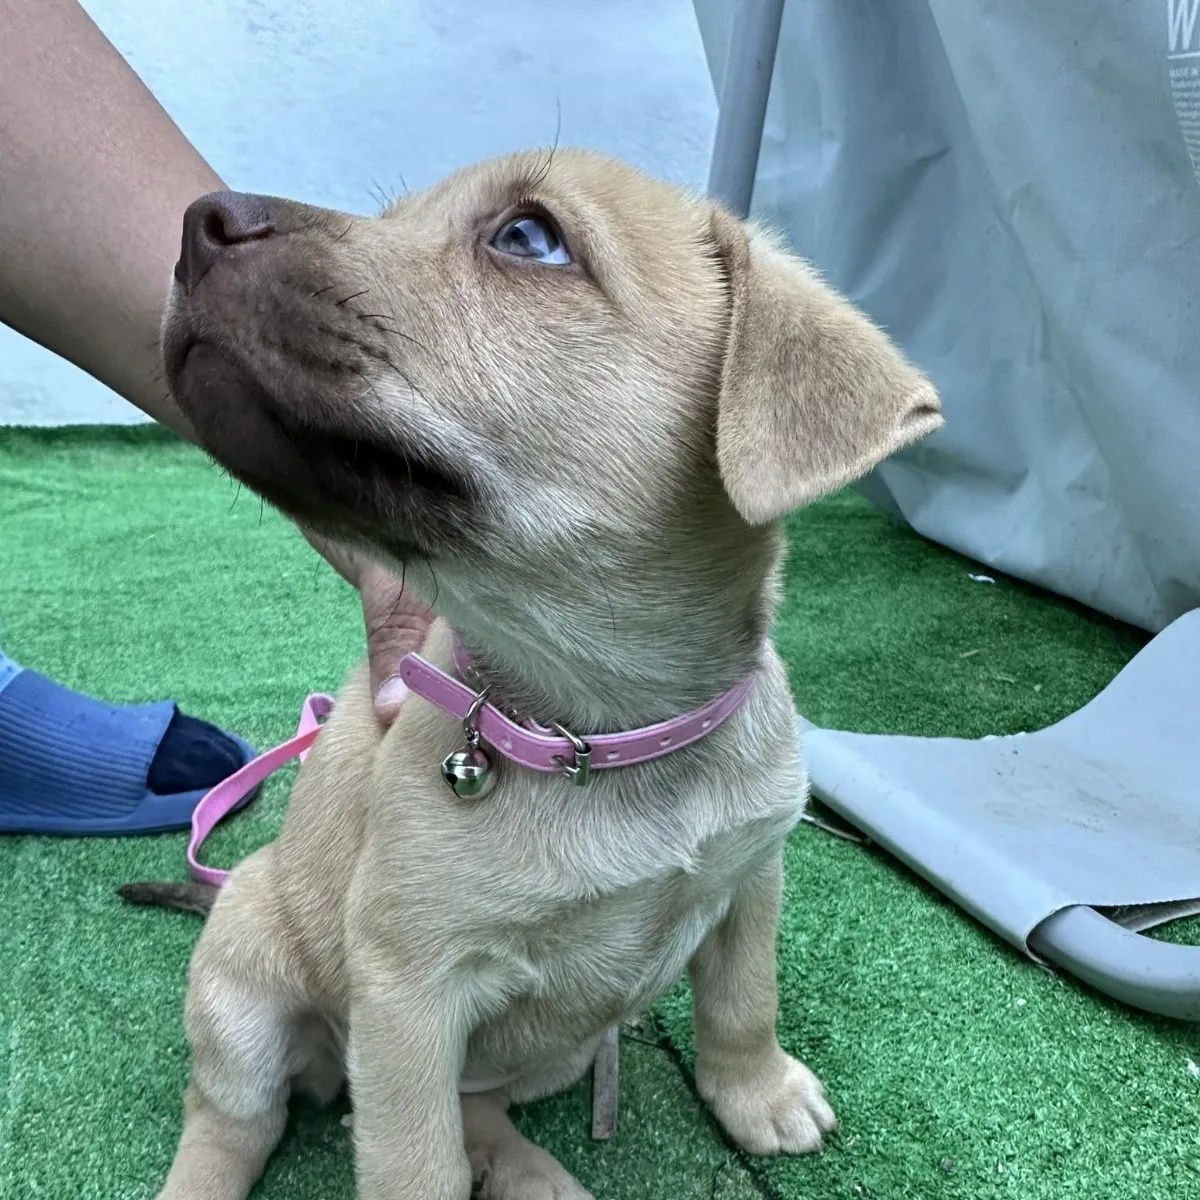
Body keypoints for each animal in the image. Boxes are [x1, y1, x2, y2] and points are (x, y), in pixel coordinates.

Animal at [138, 150, 936, 1200]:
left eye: (527, 237)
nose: (199, 221)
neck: (606, 731)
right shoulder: (409, 989)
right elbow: (415, 1163)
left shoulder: (753, 877)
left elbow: (743, 1001)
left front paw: (756, 1093)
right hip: (241, 981)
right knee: (232, 1120)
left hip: (550, 1048)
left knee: (478, 1105)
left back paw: (529, 1172)